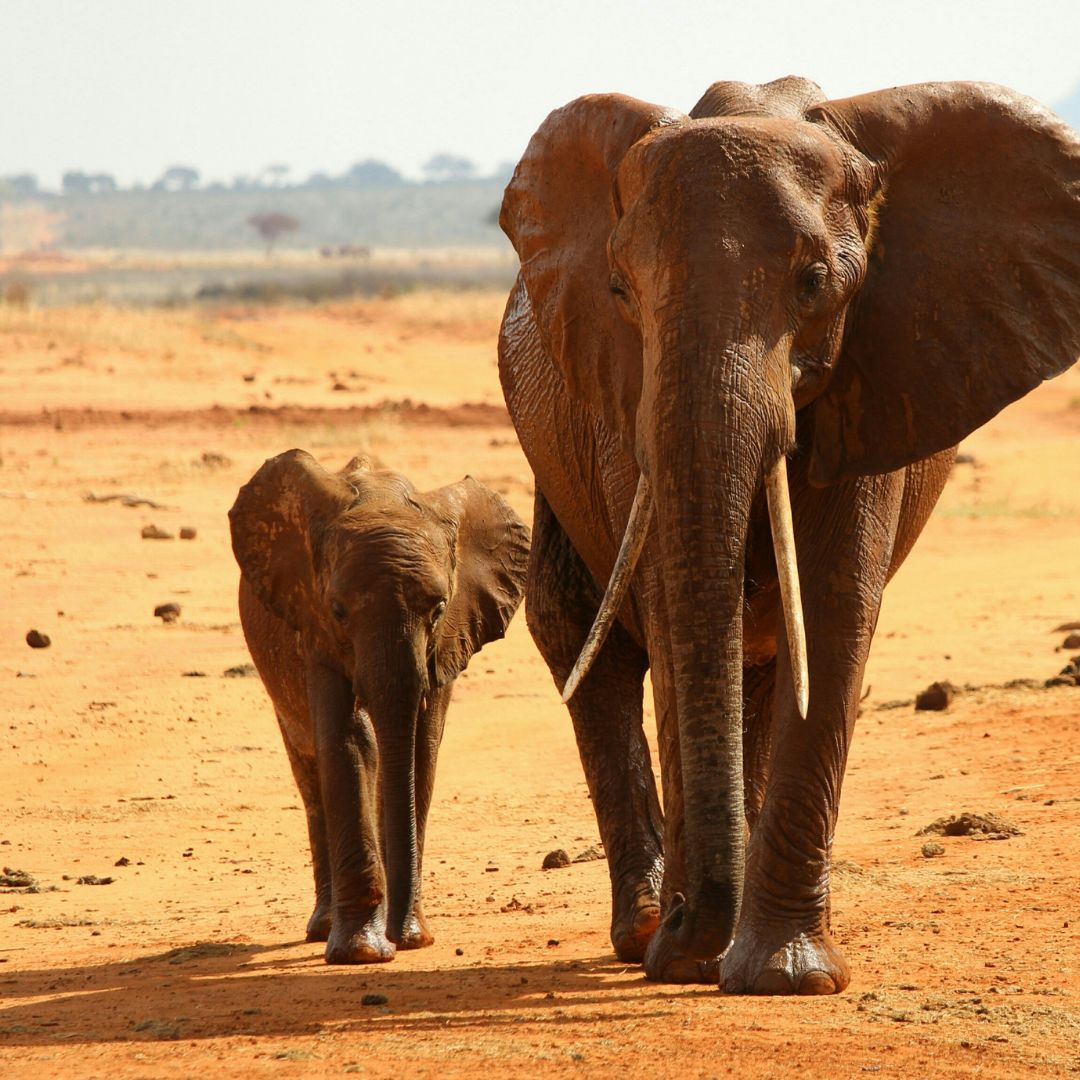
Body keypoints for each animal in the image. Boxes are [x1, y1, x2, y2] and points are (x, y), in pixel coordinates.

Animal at [230, 447, 529, 963]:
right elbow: (349, 740)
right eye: (338, 610)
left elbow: (420, 748)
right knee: (311, 772)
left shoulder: (452, 634)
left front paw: (408, 938)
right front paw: (363, 953)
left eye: (438, 608)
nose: (403, 937)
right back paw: (324, 928)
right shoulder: (312, 625)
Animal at [496, 78, 1080, 993]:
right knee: (583, 628)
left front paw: (783, 973)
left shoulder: (880, 369)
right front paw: (690, 959)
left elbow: (836, 610)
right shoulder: (627, 401)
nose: (694, 926)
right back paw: (647, 929)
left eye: (815, 282)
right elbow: (672, 608)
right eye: (620, 290)